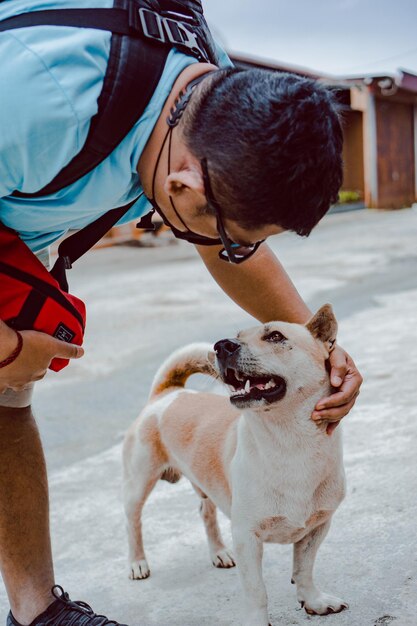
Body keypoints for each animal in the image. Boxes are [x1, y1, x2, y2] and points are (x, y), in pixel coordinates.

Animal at [122, 304, 346, 620]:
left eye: (276, 336)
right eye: (238, 335)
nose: (222, 345)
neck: (289, 442)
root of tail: (168, 393)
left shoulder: (318, 526)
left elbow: (304, 569)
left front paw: (312, 600)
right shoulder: (246, 537)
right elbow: (257, 592)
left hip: (203, 483)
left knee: (205, 511)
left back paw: (218, 552)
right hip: (139, 483)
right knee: (133, 522)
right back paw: (137, 563)